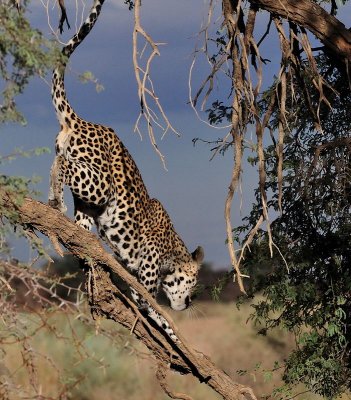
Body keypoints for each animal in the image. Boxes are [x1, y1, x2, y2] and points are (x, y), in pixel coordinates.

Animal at [48, 0, 205, 342]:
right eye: (194, 282)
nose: (190, 302)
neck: (173, 251)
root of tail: (81, 121)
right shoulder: (145, 278)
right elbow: (156, 311)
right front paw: (176, 339)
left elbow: (153, 309)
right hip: (100, 186)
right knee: (64, 166)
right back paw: (55, 199)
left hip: (90, 204)